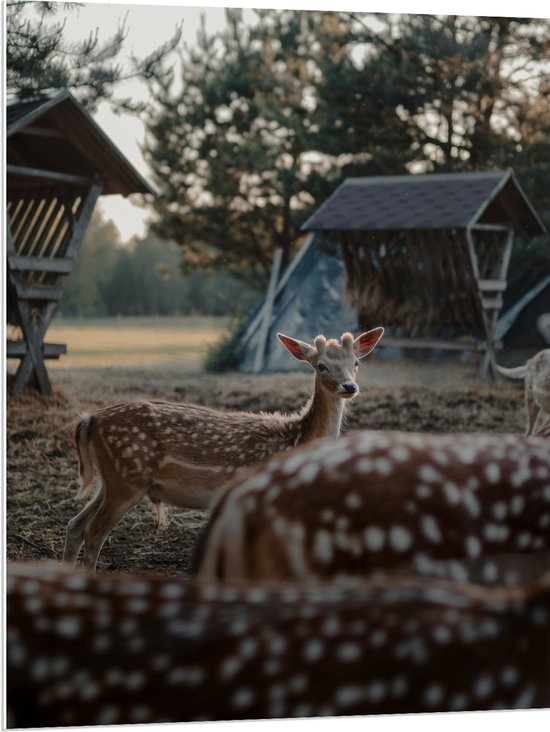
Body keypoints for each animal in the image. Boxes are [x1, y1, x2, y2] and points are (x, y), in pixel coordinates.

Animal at [62, 328, 386, 572]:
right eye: (321, 365)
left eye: (356, 363)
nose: (349, 386)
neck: (294, 440)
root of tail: (89, 420)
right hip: (127, 479)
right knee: (93, 534)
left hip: (112, 480)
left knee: (75, 524)